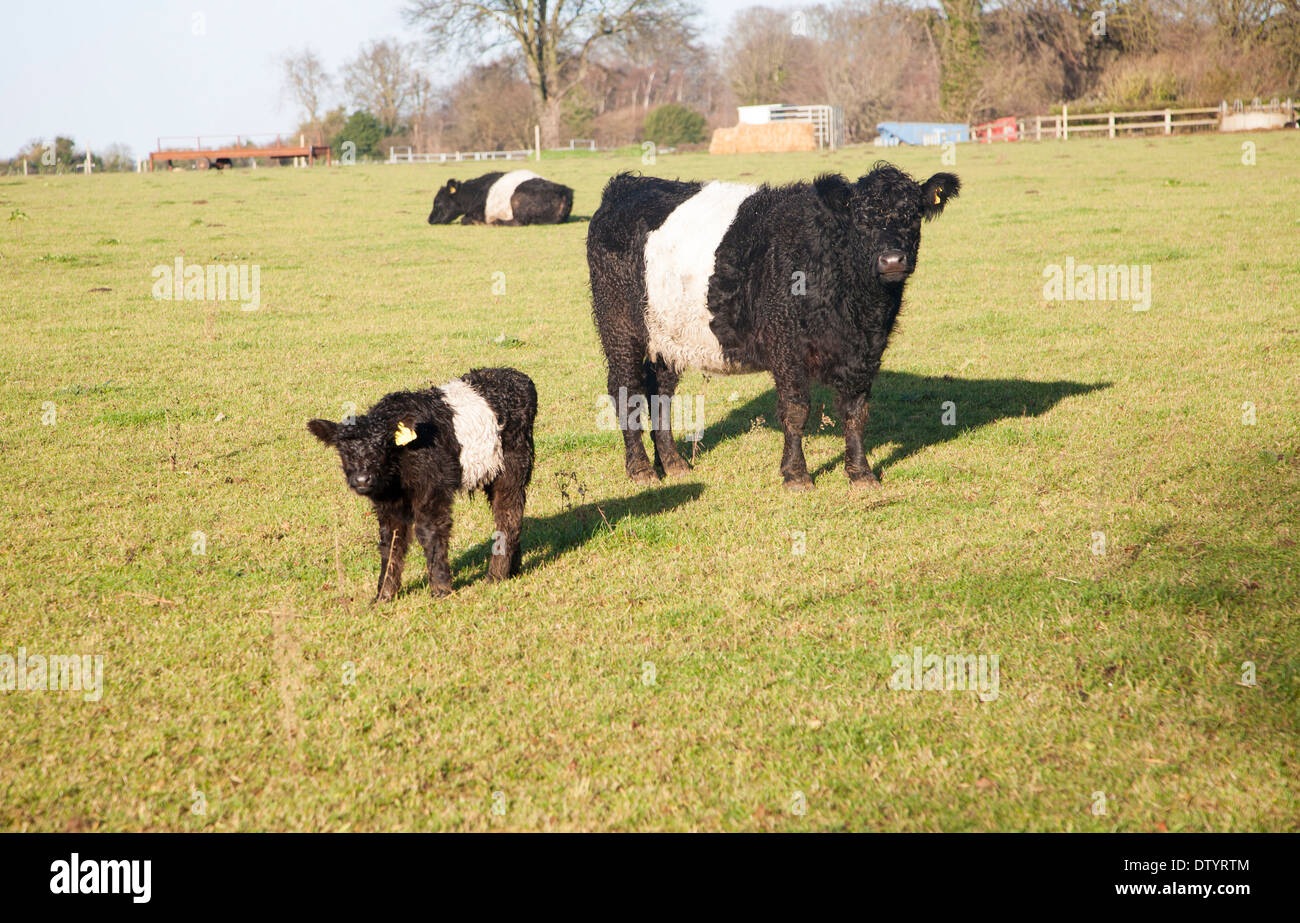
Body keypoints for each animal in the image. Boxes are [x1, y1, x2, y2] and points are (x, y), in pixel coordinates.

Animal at [426, 170, 574, 227]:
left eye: (437, 202)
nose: (429, 220)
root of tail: (564, 191)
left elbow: (464, 220)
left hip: (517, 201)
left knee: (519, 222)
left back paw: (495, 222)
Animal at [587, 163, 956, 491]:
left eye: (913, 216)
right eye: (861, 220)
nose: (892, 260)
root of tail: (625, 184)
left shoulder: (865, 352)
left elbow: (856, 413)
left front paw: (861, 474)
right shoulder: (786, 345)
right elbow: (796, 410)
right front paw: (796, 475)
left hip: (667, 338)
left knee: (660, 393)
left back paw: (674, 464)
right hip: (621, 329)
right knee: (626, 390)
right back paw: (641, 470)